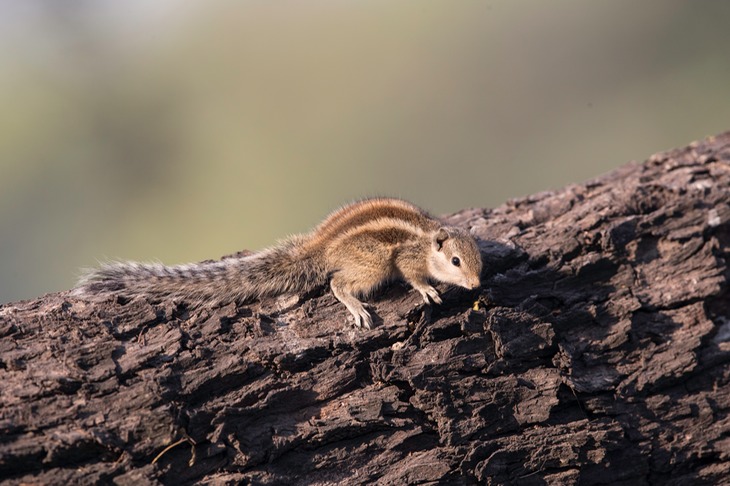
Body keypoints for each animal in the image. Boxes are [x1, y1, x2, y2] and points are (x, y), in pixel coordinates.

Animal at [74, 198, 480, 330]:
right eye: (455, 261)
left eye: (478, 258)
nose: (476, 285)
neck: (428, 241)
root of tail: (321, 245)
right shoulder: (406, 257)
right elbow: (413, 276)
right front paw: (427, 289)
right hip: (374, 263)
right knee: (337, 283)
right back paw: (355, 307)